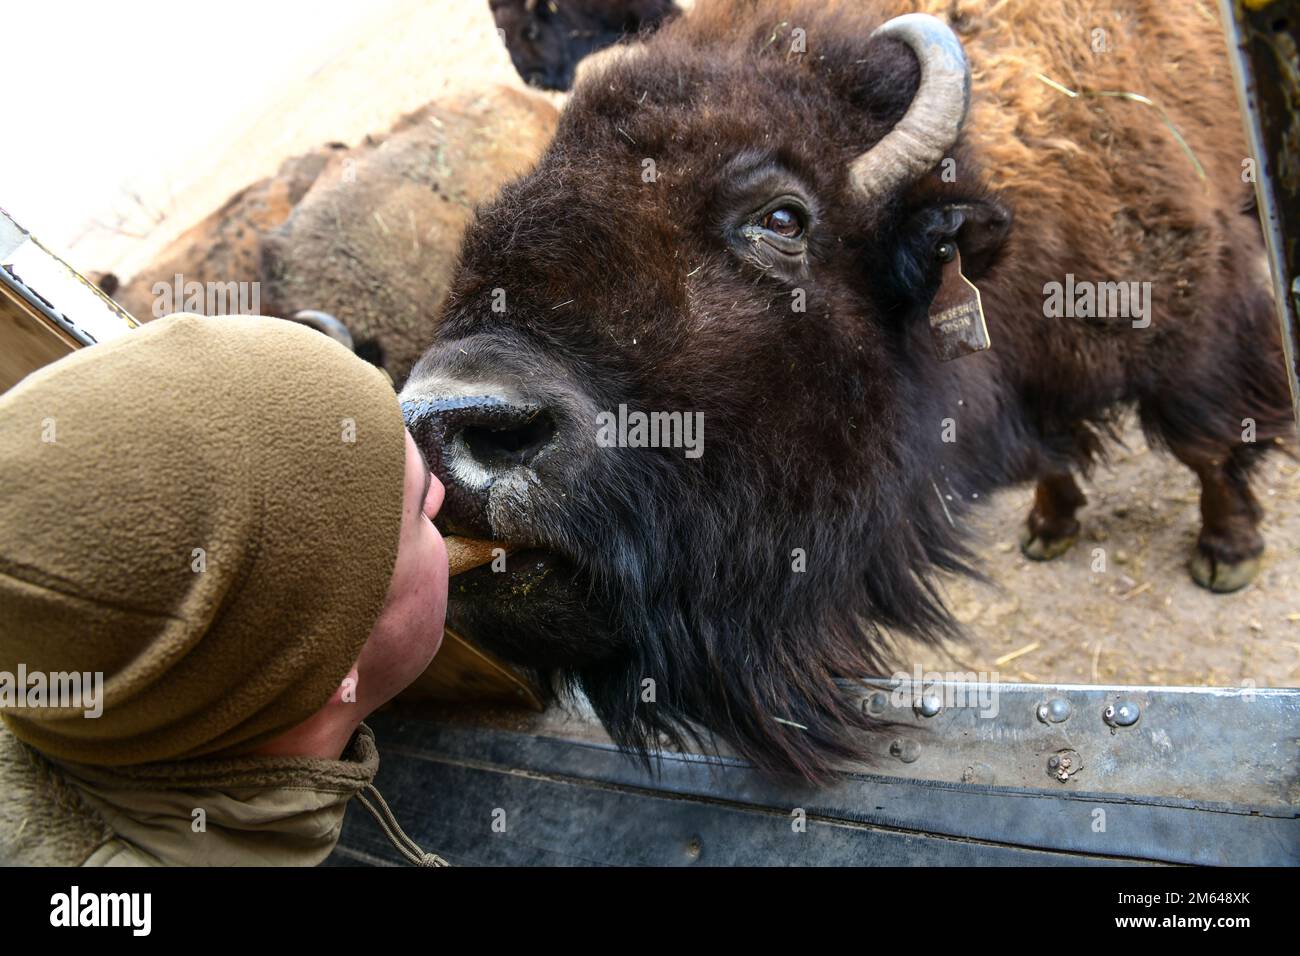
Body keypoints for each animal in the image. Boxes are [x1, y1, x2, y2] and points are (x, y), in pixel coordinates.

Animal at [402, 0, 1295, 783]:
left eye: (783, 218)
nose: (443, 424)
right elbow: (1055, 455)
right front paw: (1049, 527)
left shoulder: (1196, 321)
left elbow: (1208, 443)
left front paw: (1227, 554)